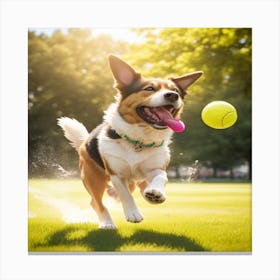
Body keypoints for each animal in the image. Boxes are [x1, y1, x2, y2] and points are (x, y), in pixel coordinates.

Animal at [58, 55, 202, 230]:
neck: (139, 140)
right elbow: (125, 195)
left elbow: (162, 177)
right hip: (92, 178)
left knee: (136, 189)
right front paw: (133, 213)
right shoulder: (116, 174)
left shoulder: (154, 169)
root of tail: (84, 141)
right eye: (149, 89)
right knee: (96, 202)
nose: (173, 96)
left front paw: (156, 193)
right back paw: (107, 222)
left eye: (175, 91)